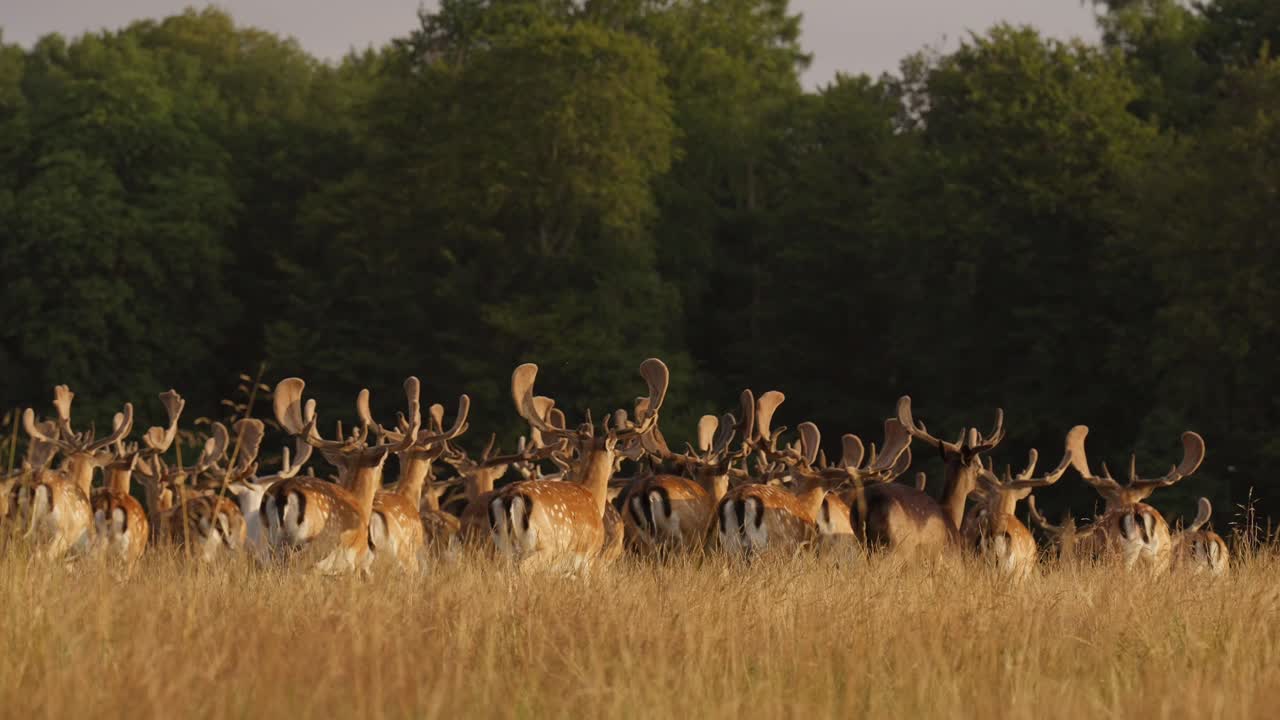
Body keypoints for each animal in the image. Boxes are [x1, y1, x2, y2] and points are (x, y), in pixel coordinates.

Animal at [488, 358, 669, 572]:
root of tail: (508, 498)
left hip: (504, 547)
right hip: (544, 547)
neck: (594, 497)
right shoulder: (587, 559)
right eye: (615, 451)